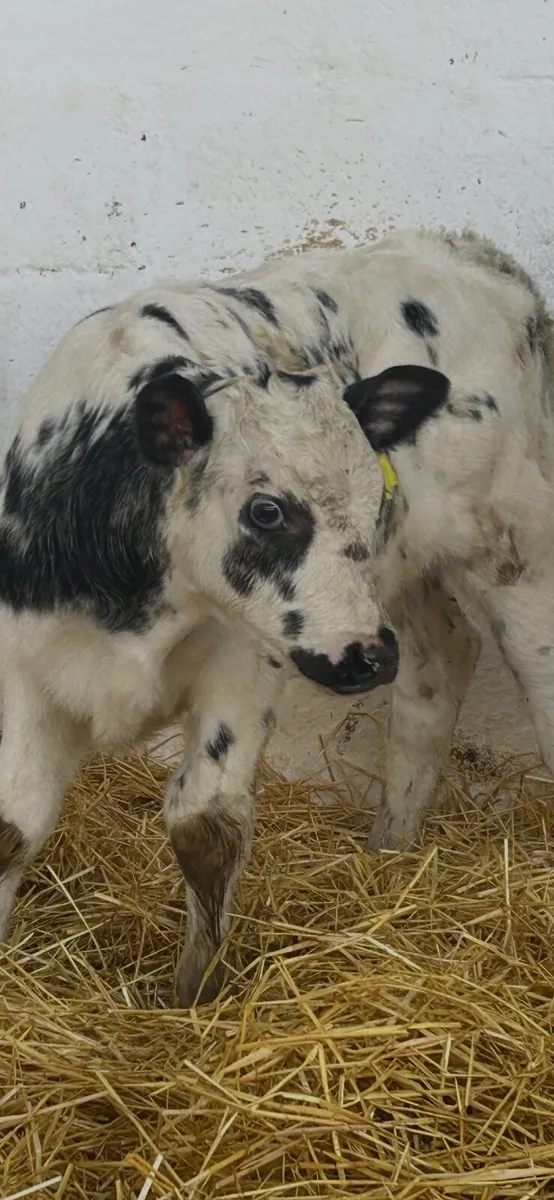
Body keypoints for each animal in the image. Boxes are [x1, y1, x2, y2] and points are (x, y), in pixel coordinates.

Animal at [1, 225, 552, 1006]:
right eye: (267, 510)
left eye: (373, 498)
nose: (367, 654)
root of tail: (467, 251)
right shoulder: (25, 663)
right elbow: (13, 826)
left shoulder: (243, 667)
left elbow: (206, 822)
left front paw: (192, 999)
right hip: (401, 582)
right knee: (439, 660)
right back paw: (389, 852)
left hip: (513, 545)